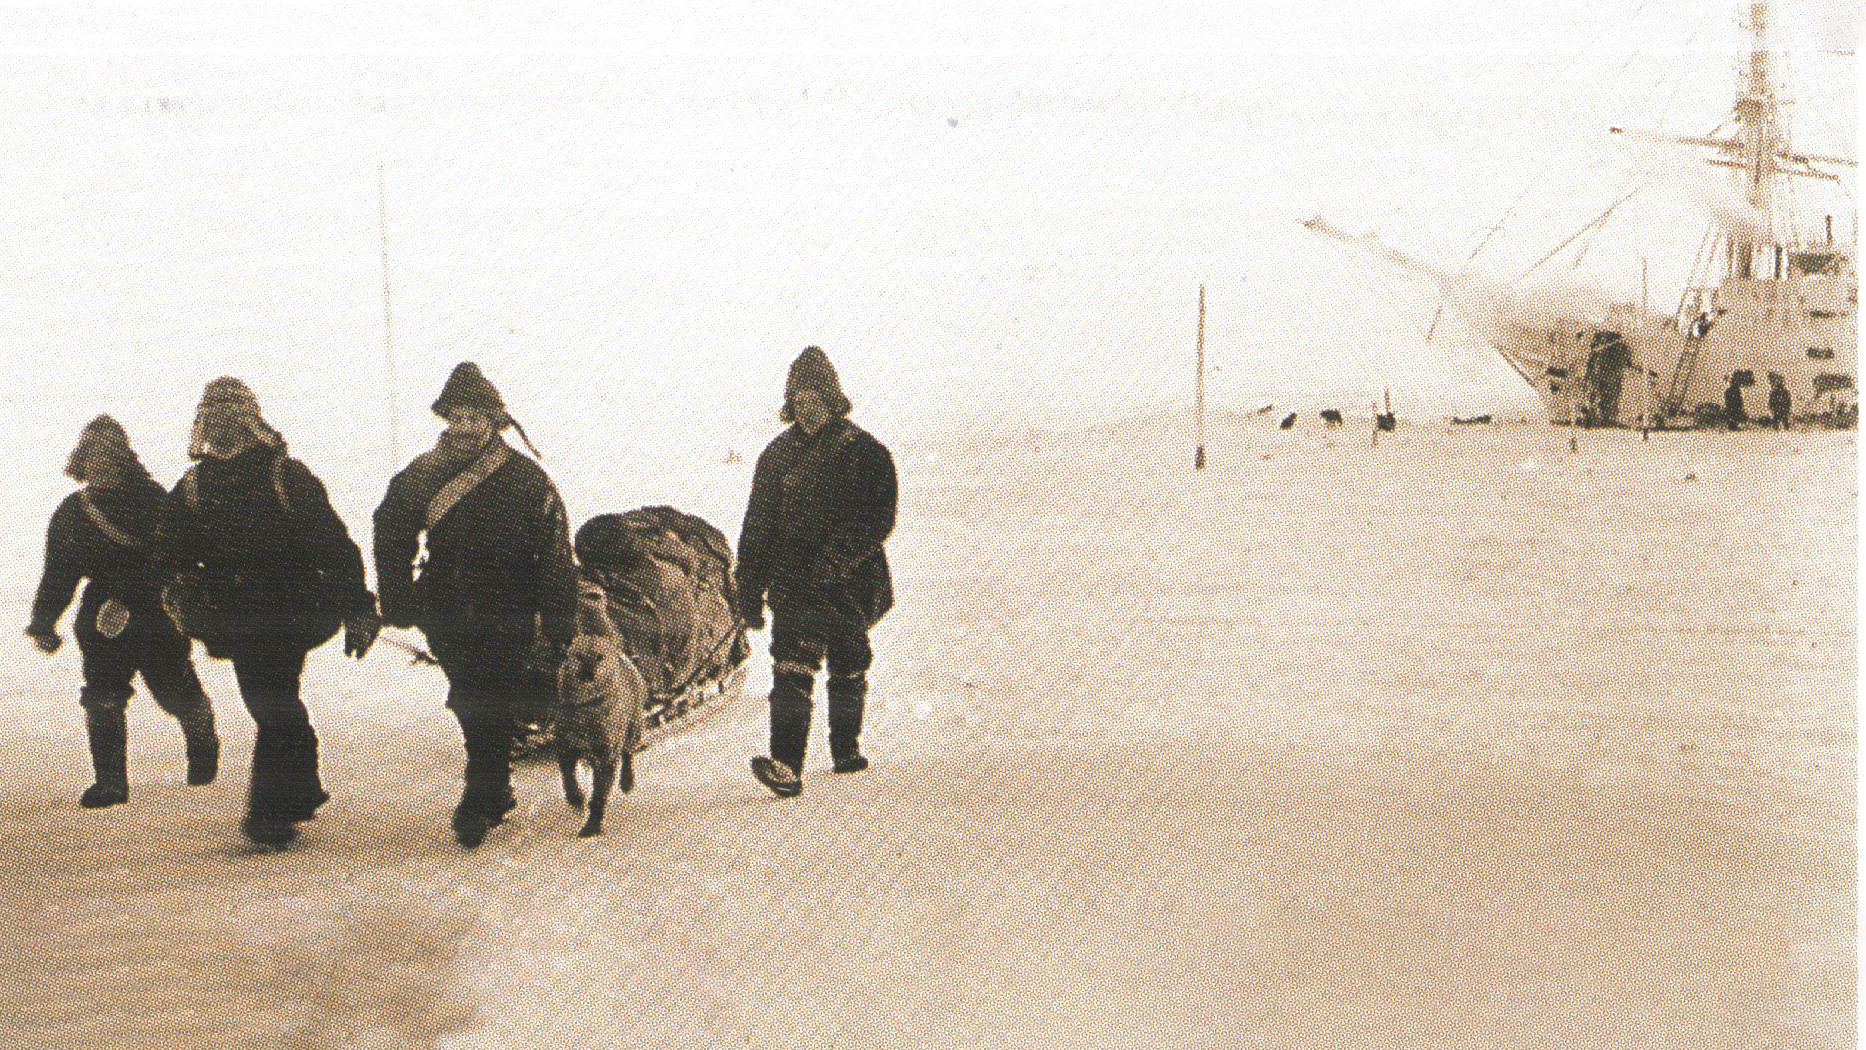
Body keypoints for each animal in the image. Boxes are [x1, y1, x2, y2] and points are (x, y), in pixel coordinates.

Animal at [552, 578, 649, 842]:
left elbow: (599, 796)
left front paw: (592, 825)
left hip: (633, 728)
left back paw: (627, 780)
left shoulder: (606, 756)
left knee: (628, 754)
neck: (586, 709)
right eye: (577, 656)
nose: (588, 674)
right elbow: (568, 777)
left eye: (599, 658)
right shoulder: (565, 749)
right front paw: (576, 798)